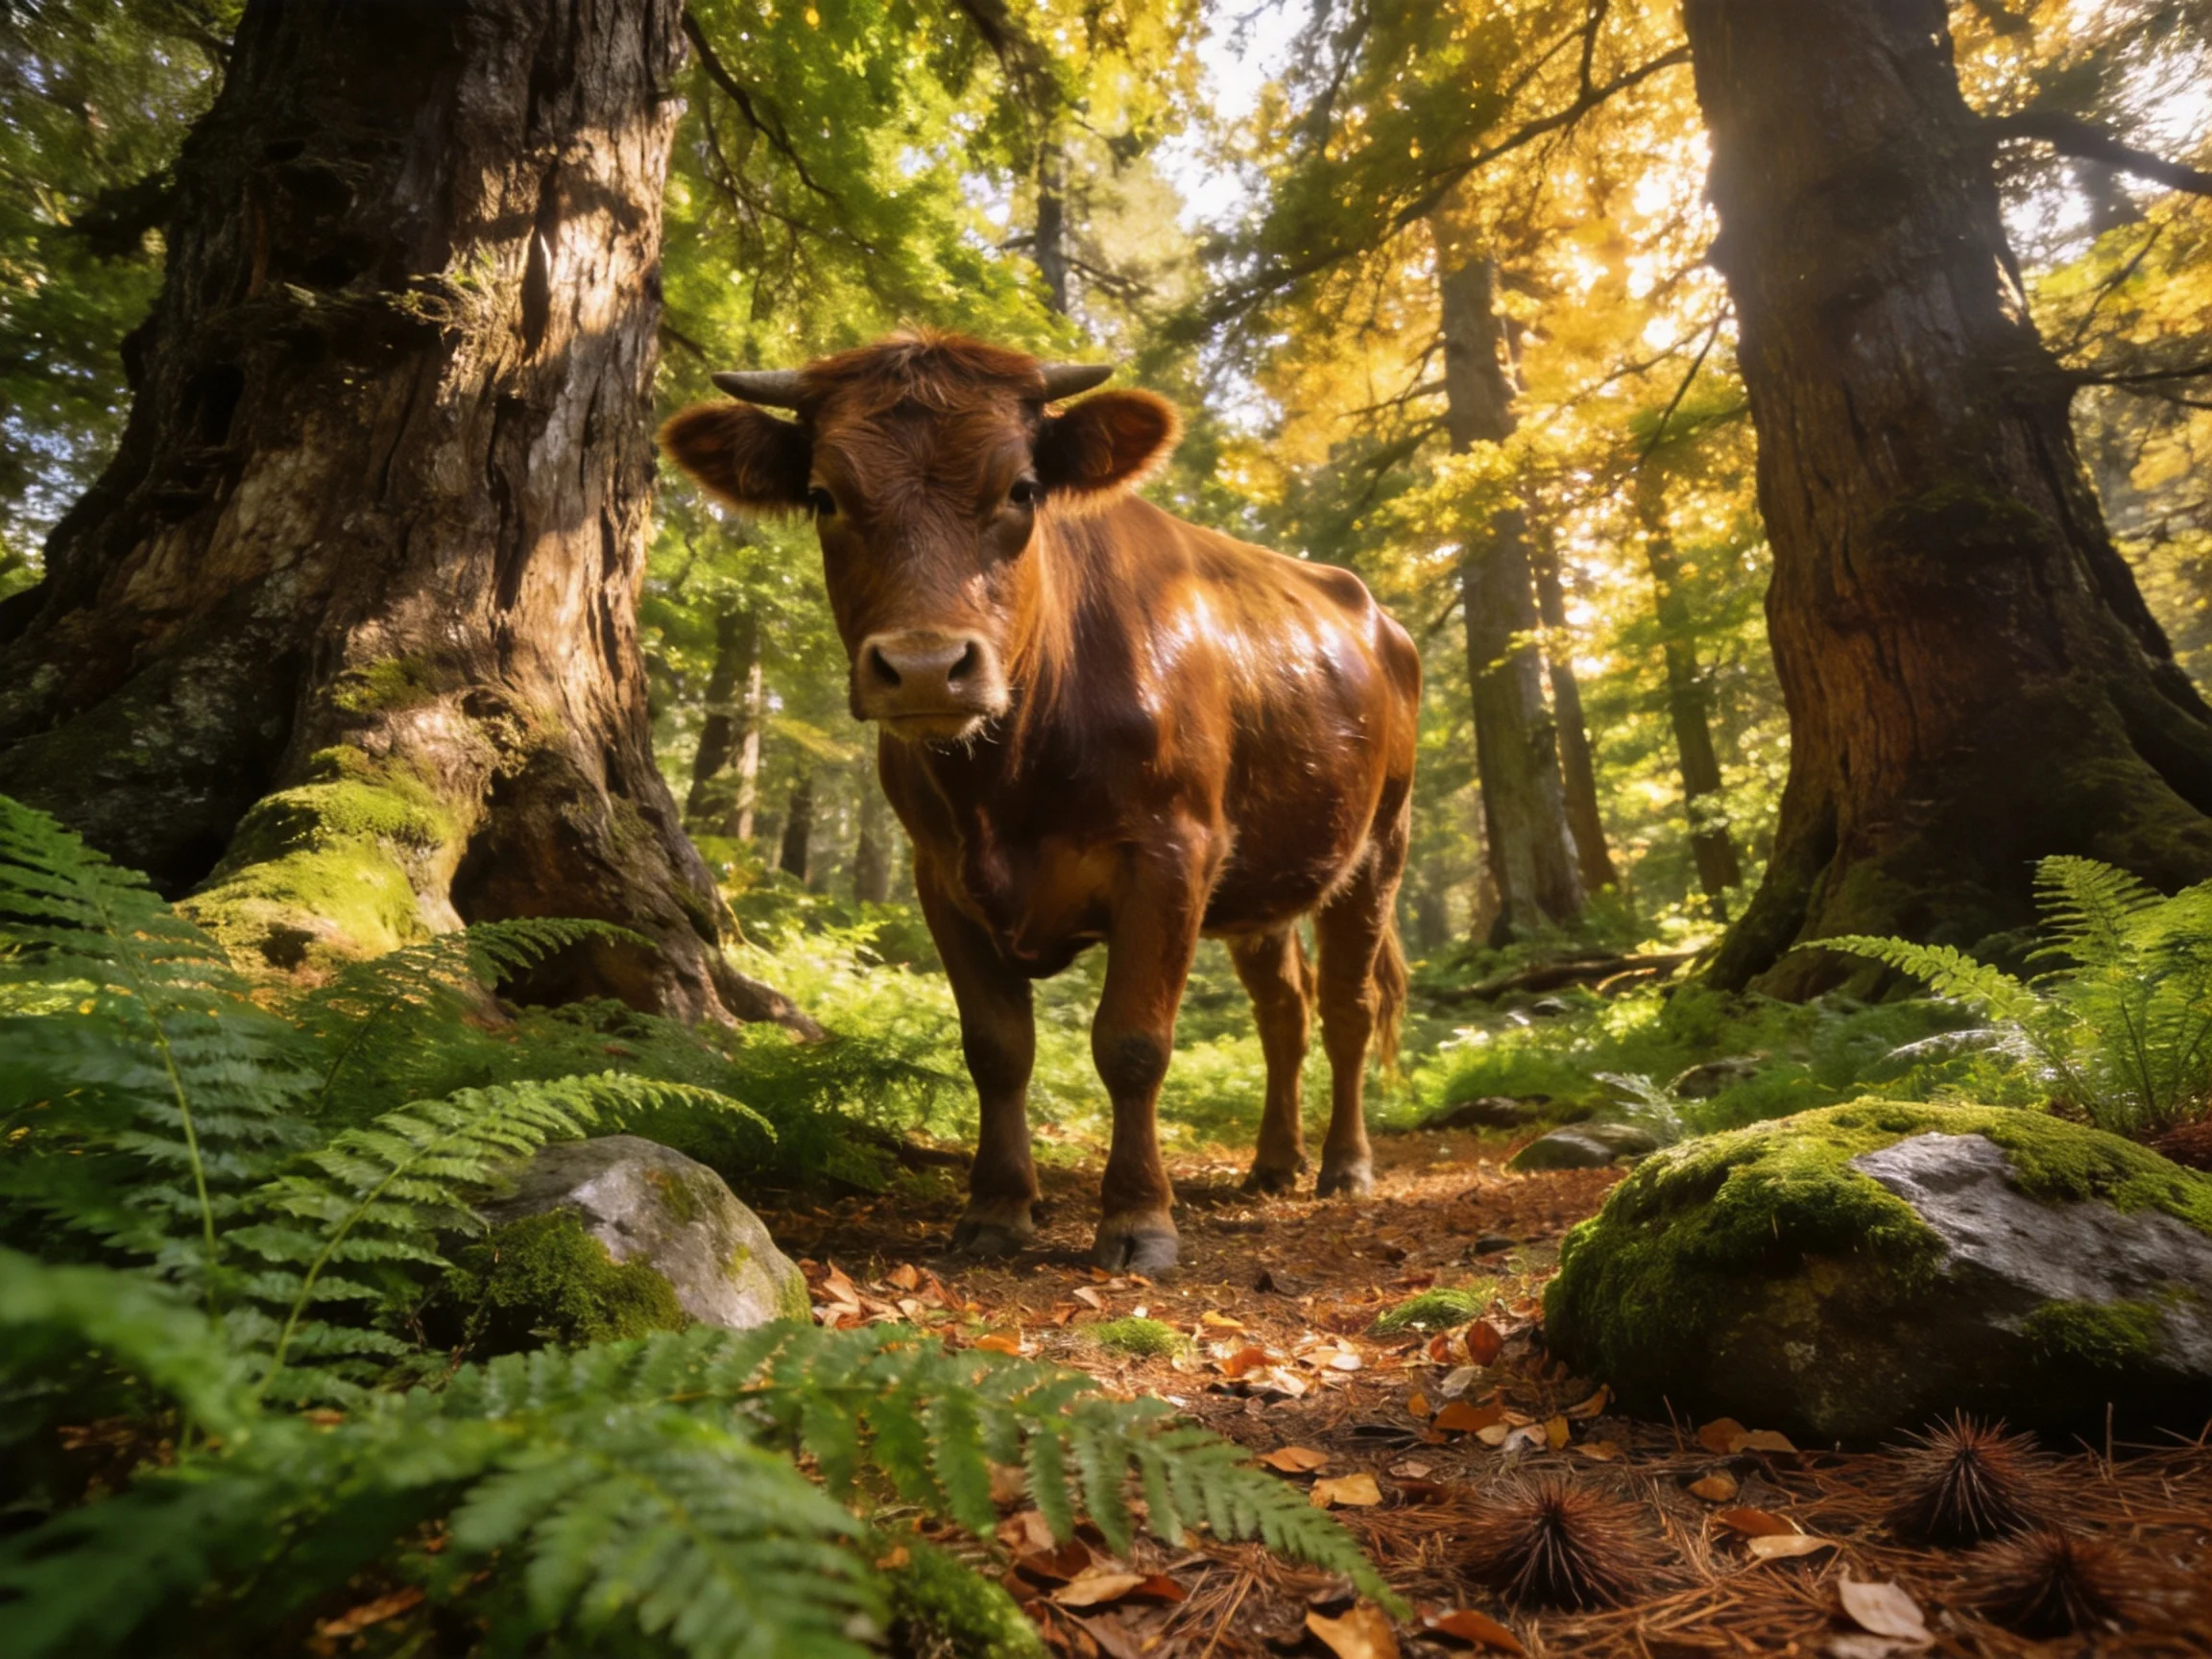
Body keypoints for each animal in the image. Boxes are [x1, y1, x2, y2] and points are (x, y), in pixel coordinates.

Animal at [660, 332, 1419, 1272]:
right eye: (824, 495)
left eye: (1021, 489)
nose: (924, 666)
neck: (1007, 781)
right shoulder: (941, 874)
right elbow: (996, 1048)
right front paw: (995, 1207)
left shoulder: (1171, 854)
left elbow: (1133, 1043)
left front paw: (1137, 1218)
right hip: (1265, 881)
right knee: (1285, 1010)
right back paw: (1274, 1163)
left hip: (1379, 847)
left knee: (1349, 1008)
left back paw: (1345, 1167)